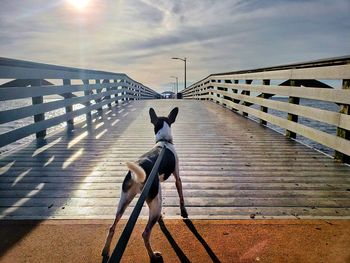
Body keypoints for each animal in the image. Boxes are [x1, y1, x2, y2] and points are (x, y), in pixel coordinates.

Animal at [101, 106, 187, 262]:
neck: (164, 142)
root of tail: (140, 167)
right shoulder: (177, 177)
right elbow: (181, 196)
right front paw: (183, 211)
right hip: (154, 205)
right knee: (145, 233)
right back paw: (153, 255)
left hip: (124, 200)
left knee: (112, 227)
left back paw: (106, 251)